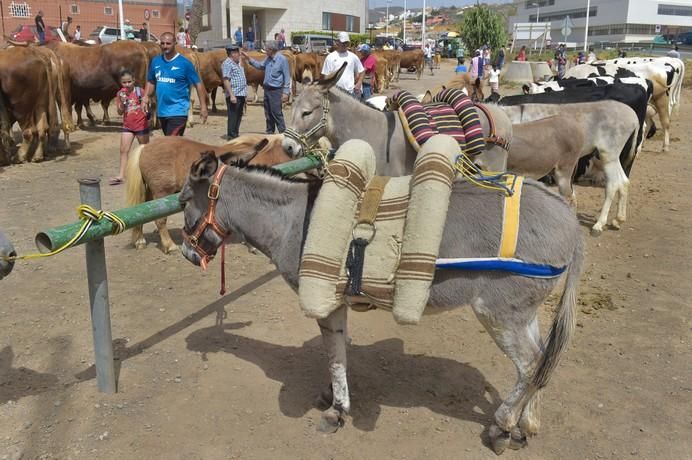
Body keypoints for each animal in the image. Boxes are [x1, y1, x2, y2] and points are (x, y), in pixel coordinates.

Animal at [125, 133, 290, 255]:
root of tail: (145, 147)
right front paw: (252, 246)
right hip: (161, 192)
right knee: (160, 220)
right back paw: (169, 245)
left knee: (141, 211)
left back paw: (140, 240)